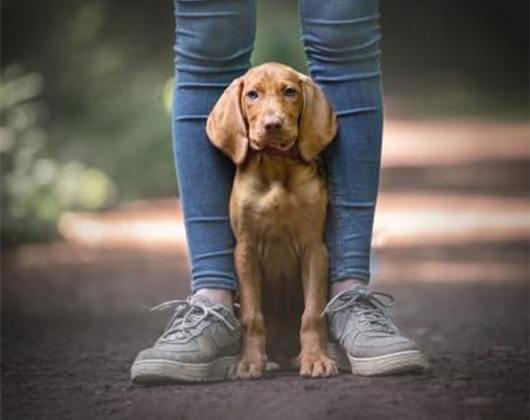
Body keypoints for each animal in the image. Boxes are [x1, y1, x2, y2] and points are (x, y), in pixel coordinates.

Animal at [204, 62, 336, 380]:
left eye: (289, 92)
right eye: (252, 95)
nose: (273, 124)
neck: (276, 166)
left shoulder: (315, 248)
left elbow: (312, 313)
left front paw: (316, 359)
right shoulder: (246, 249)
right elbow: (252, 315)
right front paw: (249, 362)